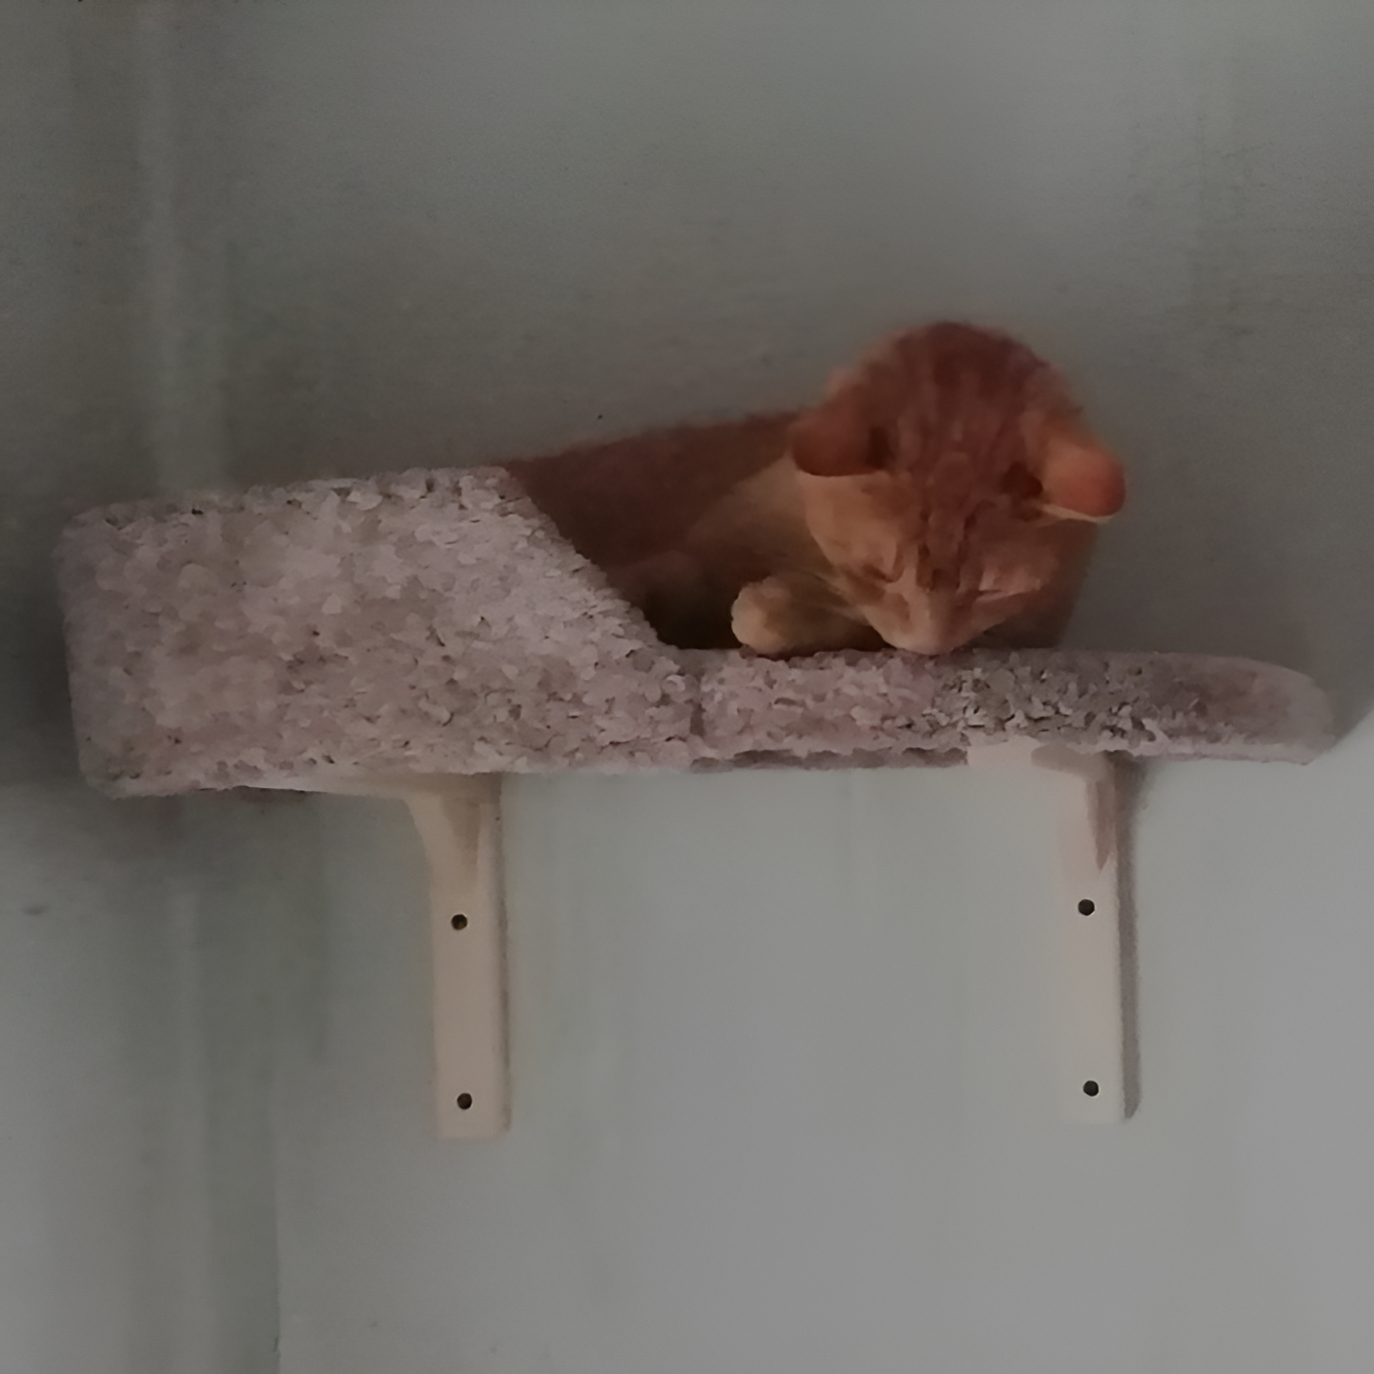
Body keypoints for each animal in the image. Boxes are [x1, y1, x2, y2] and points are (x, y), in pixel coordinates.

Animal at [508, 322, 1124, 656]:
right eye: (877, 570)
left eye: (992, 590)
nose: (927, 645)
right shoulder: (700, 551)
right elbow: (655, 574)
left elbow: (782, 620)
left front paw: (771, 606)